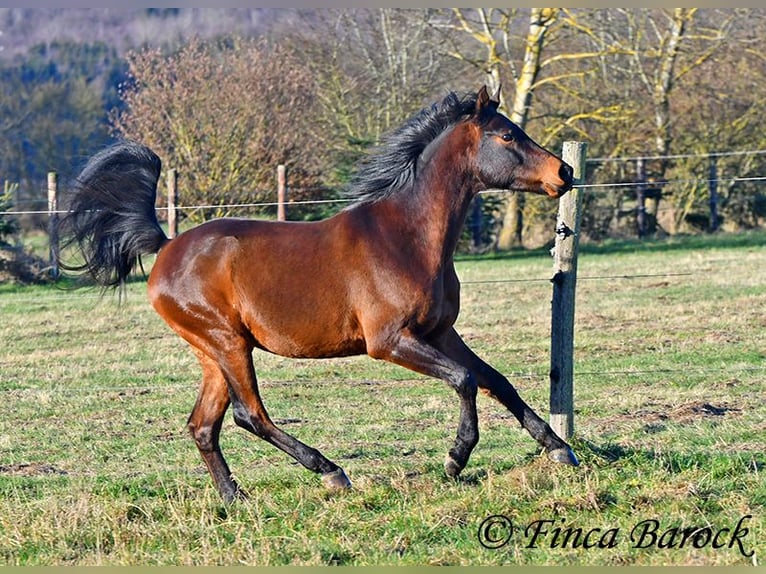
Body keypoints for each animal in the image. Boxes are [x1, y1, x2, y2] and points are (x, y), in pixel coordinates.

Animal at [60, 85, 580, 504]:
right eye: (507, 136)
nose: (565, 172)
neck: (408, 237)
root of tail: (166, 246)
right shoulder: (388, 342)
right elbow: (465, 380)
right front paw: (455, 459)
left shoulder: (441, 332)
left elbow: (497, 381)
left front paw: (560, 449)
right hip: (227, 343)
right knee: (250, 416)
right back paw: (330, 472)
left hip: (213, 352)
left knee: (204, 427)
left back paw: (235, 498)